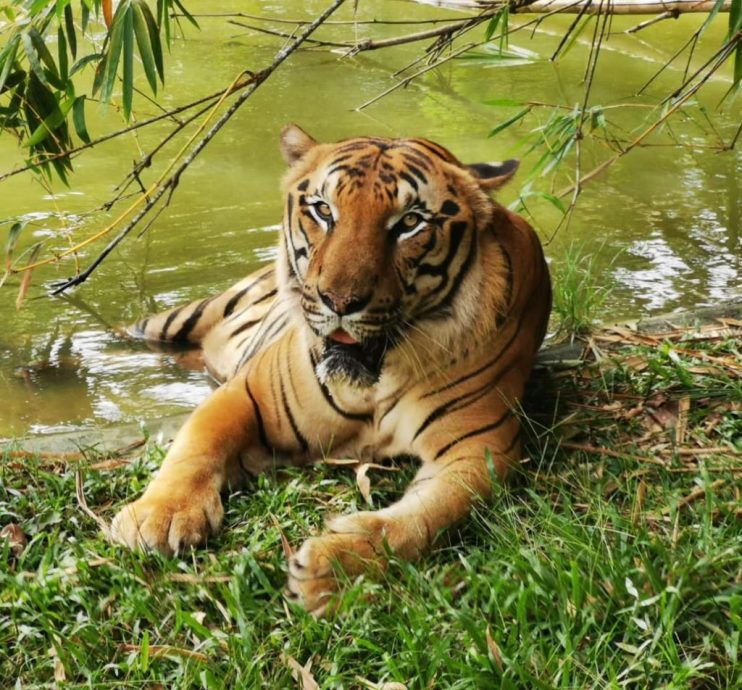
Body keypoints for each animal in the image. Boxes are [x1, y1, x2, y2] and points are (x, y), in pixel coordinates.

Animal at [110, 123, 552, 612]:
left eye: (410, 223)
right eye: (323, 210)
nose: (339, 301)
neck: (376, 381)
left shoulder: (478, 447)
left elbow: (428, 514)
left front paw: (335, 568)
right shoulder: (248, 392)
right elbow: (197, 444)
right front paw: (159, 517)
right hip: (173, 322)